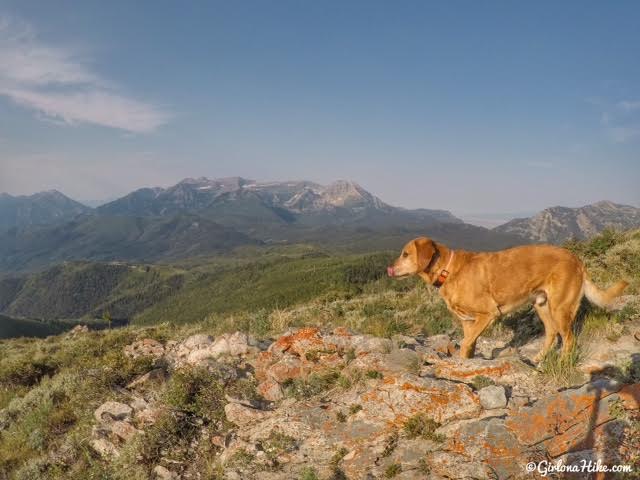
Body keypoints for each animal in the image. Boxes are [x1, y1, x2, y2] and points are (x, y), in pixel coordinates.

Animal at [388, 236, 628, 360]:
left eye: (405, 254)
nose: (388, 269)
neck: (448, 270)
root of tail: (577, 259)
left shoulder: (488, 314)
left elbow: (466, 344)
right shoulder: (468, 322)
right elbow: (468, 345)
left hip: (560, 308)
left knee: (568, 339)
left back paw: (562, 363)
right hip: (542, 304)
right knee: (552, 333)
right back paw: (539, 360)